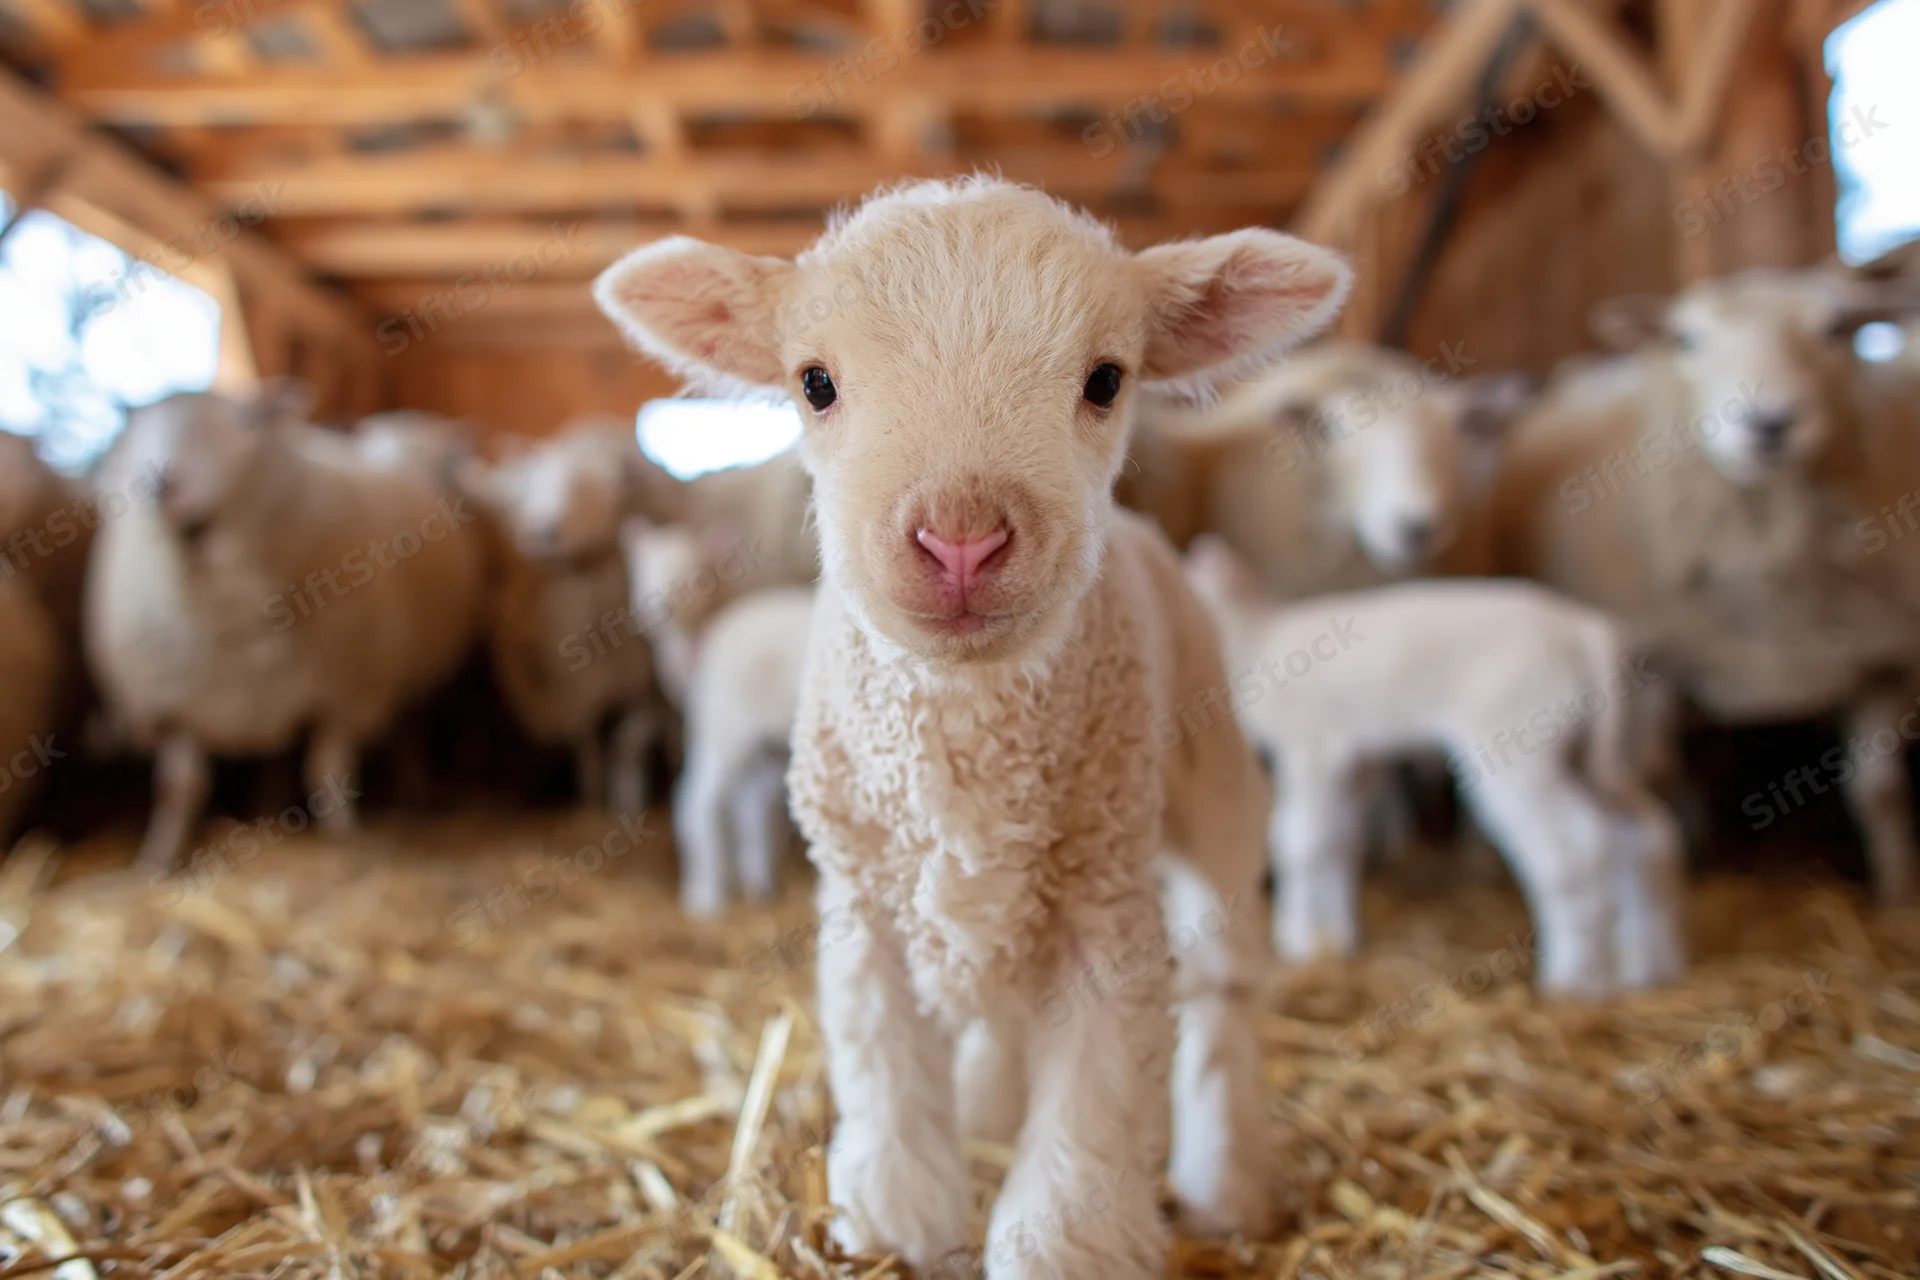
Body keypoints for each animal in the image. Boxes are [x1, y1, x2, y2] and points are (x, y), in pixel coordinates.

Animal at [83, 382, 489, 870]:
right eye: (140, 433)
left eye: (240, 424)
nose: (160, 484)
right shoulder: (172, 705)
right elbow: (178, 787)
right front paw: (157, 859)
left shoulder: (345, 693)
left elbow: (327, 769)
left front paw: (345, 838)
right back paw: (268, 808)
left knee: (407, 732)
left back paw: (414, 792)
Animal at [475, 418, 669, 814]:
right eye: (536, 484)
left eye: (591, 489)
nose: (539, 531)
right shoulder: (573, 690)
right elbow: (586, 742)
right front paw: (591, 796)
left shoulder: (646, 690)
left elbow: (631, 741)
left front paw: (628, 798)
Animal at [621, 518, 813, 916]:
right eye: (643, 566)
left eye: (696, 575)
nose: (657, 607)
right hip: (733, 727)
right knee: (704, 801)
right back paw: (711, 895)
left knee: (727, 805)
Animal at [1181, 535, 1685, 996]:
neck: (1253, 639)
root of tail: (1583, 628)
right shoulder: (1360, 762)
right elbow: (1341, 842)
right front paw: (1333, 941)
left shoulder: (1313, 747)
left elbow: (1300, 840)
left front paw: (1297, 941)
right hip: (1603, 754)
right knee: (1645, 834)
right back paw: (1648, 967)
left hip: (1523, 744)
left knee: (1575, 848)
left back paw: (1575, 980)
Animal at [1493, 267, 1920, 905]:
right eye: (1687, 339)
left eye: (1837, 330)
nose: (1768, 423)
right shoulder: (1652, 661)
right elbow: (1657, 773)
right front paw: (1684, 874)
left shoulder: (1885, 661)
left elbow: (1880, 792)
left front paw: (1898, 898)